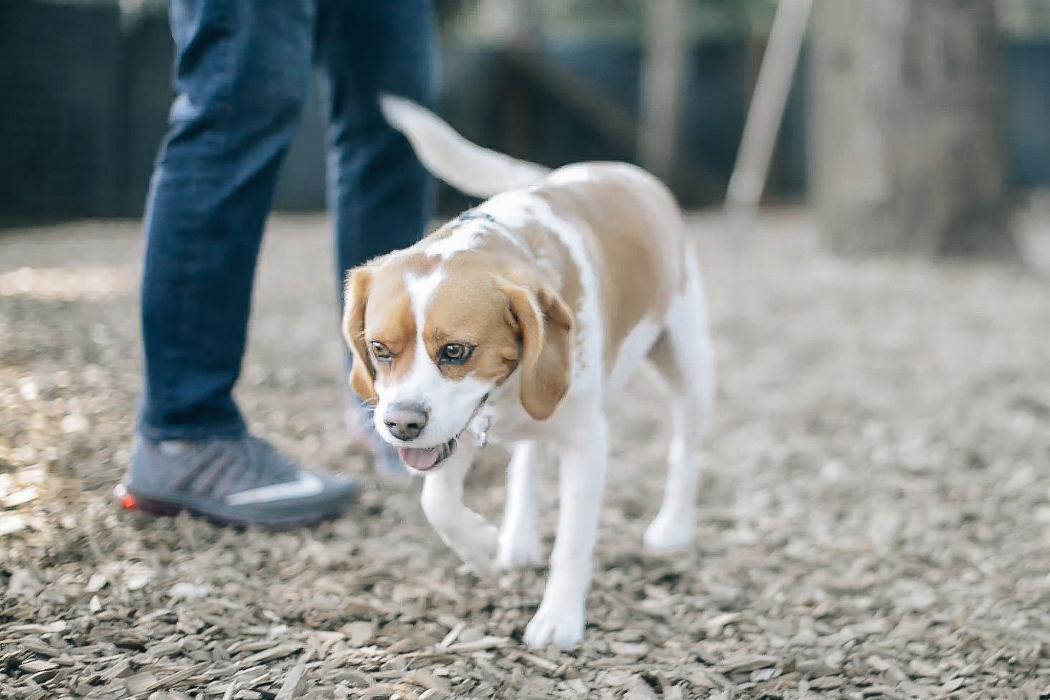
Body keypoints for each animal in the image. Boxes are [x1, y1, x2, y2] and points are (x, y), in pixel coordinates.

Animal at [344, 96, 713, 650]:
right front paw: (481, 546)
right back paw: (516, 538)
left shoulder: (585, 442)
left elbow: (573, 541)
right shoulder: (455, 426)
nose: (400, 425)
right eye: (380, 349)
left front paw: (559, 618)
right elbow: (438, 503)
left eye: (455, 351)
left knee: (685, 449)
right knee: (527, 458)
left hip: (688, 368)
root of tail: (621, 170)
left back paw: (673, 528)